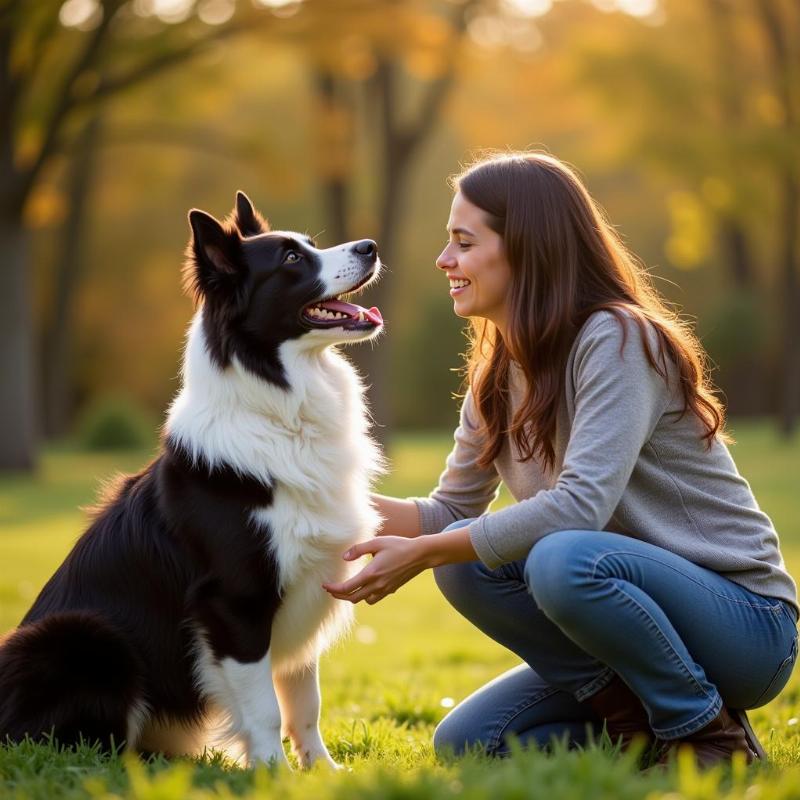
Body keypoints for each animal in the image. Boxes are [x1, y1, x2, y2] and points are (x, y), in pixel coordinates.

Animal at [0, 194, 384, 768]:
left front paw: (320, 770)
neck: (280, 412)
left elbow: (305, 701)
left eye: (309, 245)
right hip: (83, 635)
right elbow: (265, 708)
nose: (370, 246)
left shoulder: (307, 584)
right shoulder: (234, 602)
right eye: (292, 259)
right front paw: (273, 774)